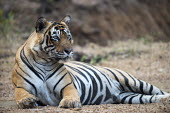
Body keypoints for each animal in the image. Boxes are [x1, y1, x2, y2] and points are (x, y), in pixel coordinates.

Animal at [11, 15, 169, 108]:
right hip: (130, 96)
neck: (44, 60)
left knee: (159, 91)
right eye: (56, 38)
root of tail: (117, 91)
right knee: (152, 97)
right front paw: (27, 101)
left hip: (132, 81)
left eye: (69, 37)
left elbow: (70, 94)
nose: (69, 50)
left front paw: (70, 102)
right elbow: (20, 94)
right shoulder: (21, 86)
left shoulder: (68, 85)